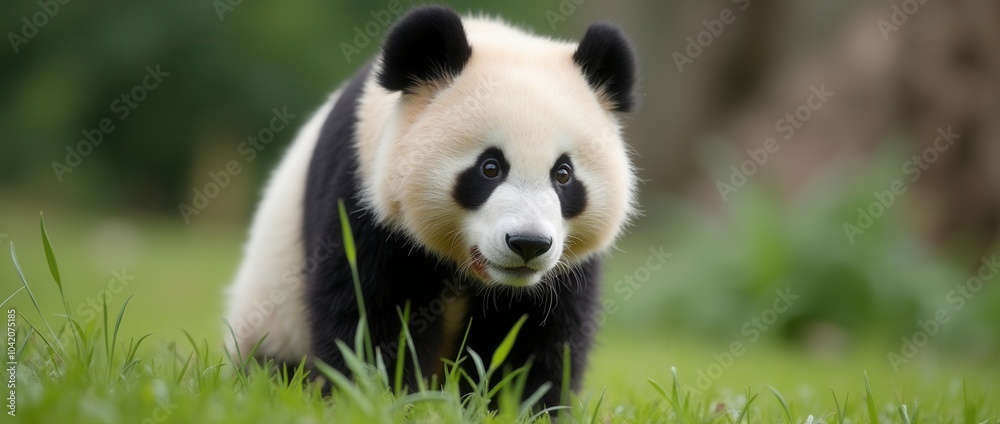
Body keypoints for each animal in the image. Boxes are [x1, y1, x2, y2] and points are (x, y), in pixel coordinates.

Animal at [225, 5, 637, 407]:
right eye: (490, 167)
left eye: (563, 174)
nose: (528, 244)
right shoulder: (362, 194)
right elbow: (372, 313)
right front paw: (382, 397)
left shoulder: (562, 269)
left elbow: (537, 336)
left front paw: (519, 405)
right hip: (268, 319)